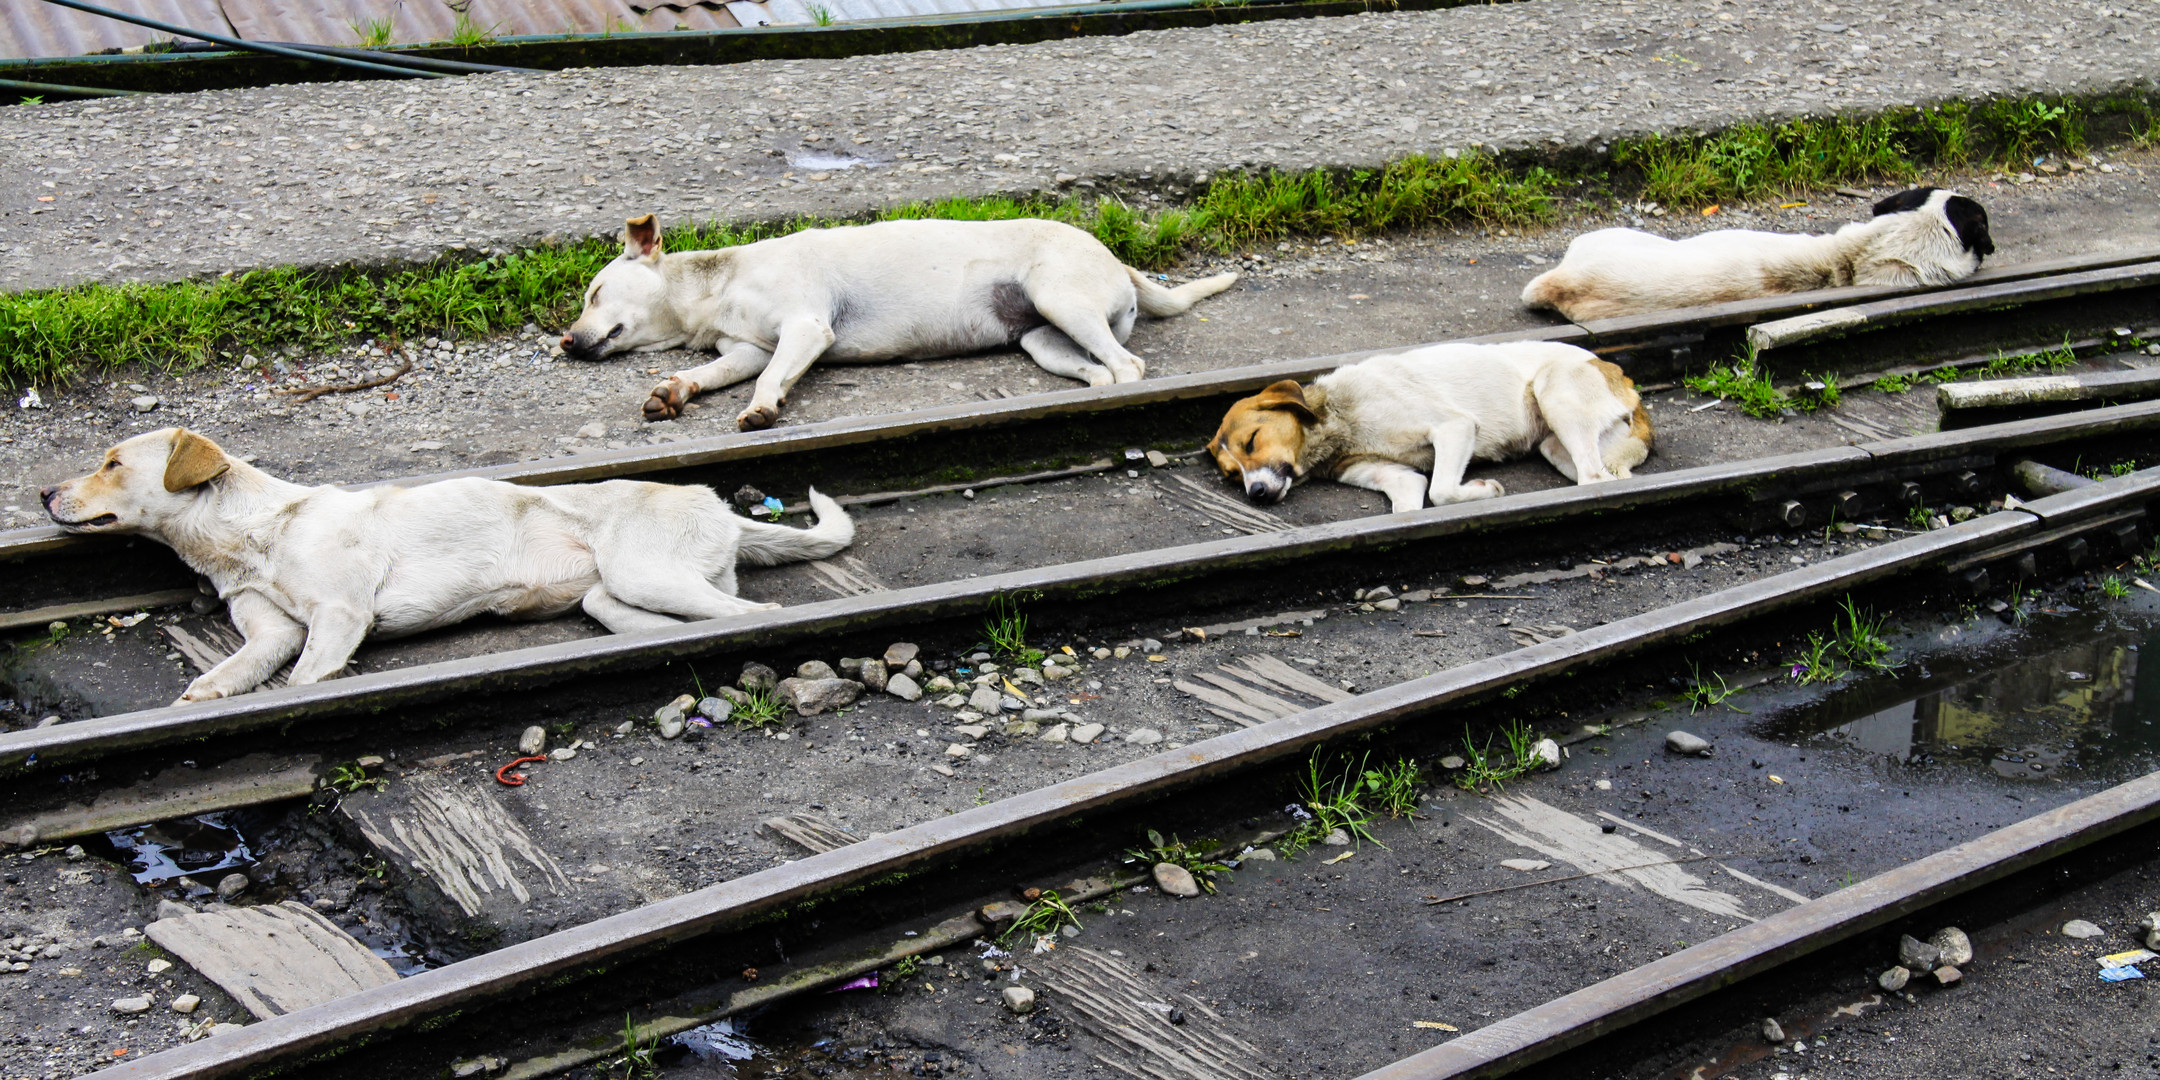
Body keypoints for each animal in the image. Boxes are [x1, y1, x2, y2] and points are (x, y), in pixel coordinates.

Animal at [39, 425, 851, 704]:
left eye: (111, 463)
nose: (43, 492)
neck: (250, 535)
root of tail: (714, 501)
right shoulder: (271, 630)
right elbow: (234, 670)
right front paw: (202, 698)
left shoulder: (339, 617)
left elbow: (304, 679)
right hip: (611, 598)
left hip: (642, 572)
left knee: (755, 611)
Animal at [561, 212, 1235, 427]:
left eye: (594, 292)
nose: (565, 342)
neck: (712, 290)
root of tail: (1116, 258)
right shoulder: (746, 348)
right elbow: (714, 374)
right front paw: (674, 391)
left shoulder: (805, 329)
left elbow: (770, 380)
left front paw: (761, 410)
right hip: (1045, 341)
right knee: (1099, 372)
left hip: (1060, 300)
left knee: (1129, 367)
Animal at [1200, 343, 1650, 516]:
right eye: (1232, 475)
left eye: (1252, 440)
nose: (1256, 493)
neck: (1339, 424)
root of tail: (1625, 379)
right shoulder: (1395, 477)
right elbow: (1414, 497)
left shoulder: (1453, 427)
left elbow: (1442, 491)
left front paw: (1485, 491)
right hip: (1556, 448)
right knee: (1603, 475)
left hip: (1553, 391)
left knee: (1593, 479)